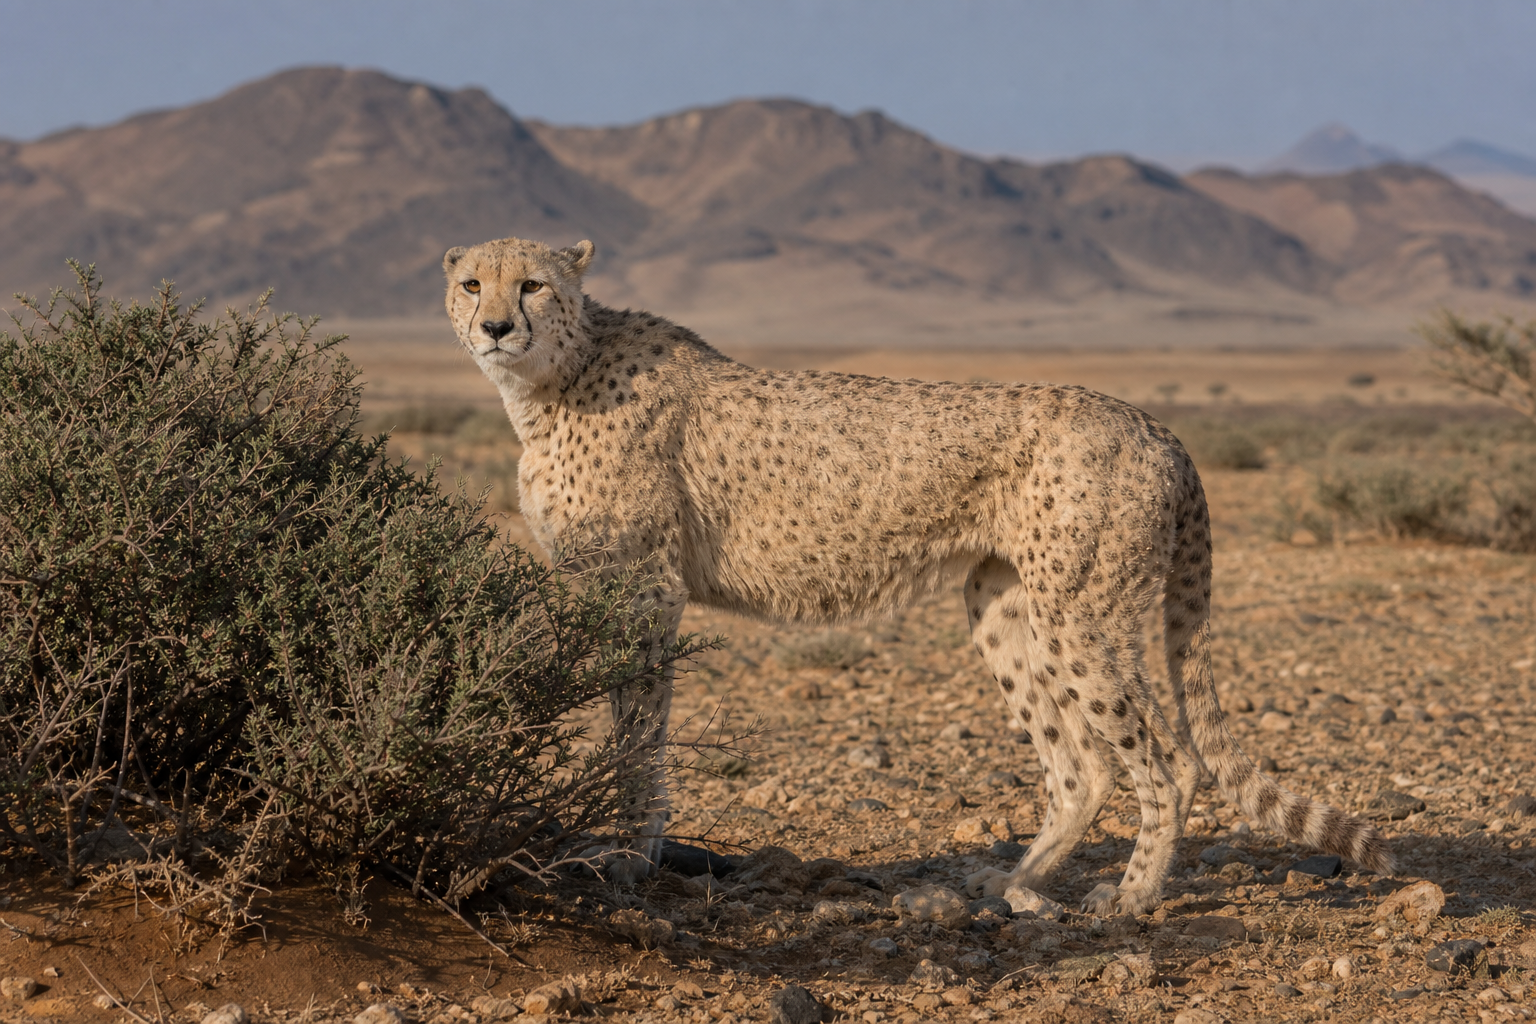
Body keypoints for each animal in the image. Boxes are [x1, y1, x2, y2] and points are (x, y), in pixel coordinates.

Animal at [441, 234, 1392, 914]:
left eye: (533, 285)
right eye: (472, 284)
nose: (496, 328)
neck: (552, 380)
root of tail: (1153, 423)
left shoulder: (646, 588)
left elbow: (637, 730)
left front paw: (623, 856)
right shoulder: (611, 585)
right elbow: (626, 721)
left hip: (1084, 614)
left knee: (1166, 763)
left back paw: (1126, 900)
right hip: (1005, 604)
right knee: (1082, 766)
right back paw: (1014, 884)